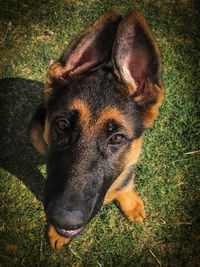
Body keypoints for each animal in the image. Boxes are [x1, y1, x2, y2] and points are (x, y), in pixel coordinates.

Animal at [29, 9, 164, 250]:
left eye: (117, 138)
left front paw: (127, 199)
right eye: (62, 125)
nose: (63, 220)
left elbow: (125, 180)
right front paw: (57, 232)